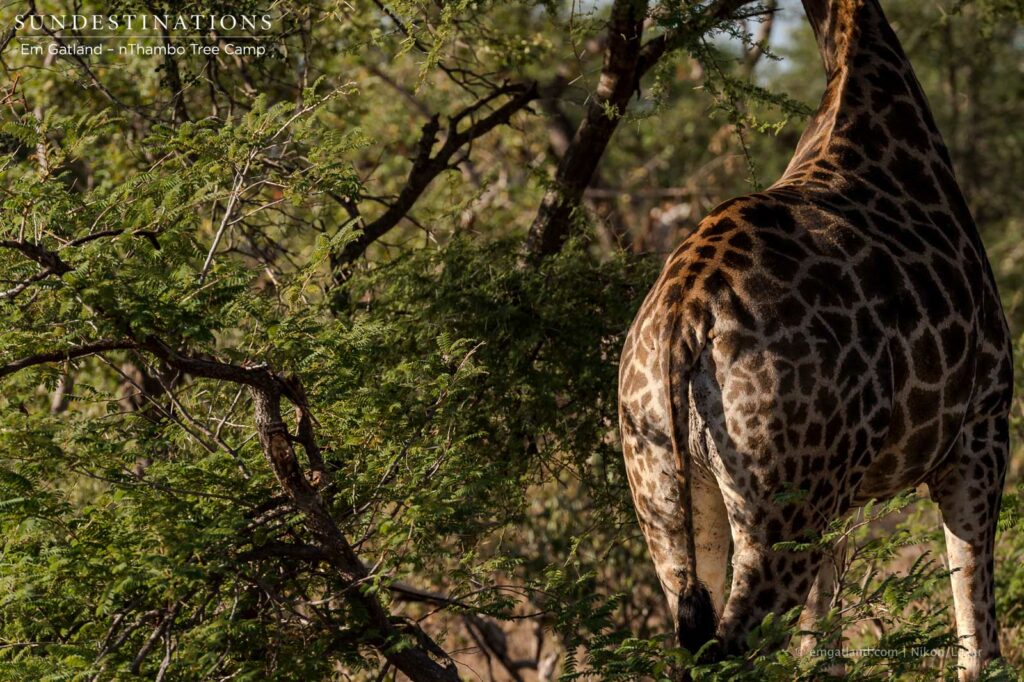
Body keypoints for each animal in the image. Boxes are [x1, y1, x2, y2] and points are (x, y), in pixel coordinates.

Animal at [617, 1, 1012, 679]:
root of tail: (684, 313)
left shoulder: (845, 496)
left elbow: (821, 639)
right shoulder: (980, 434)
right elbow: (977, 632)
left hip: (669, 495)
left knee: (697, 633)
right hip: (782, 511)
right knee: (736, 647)